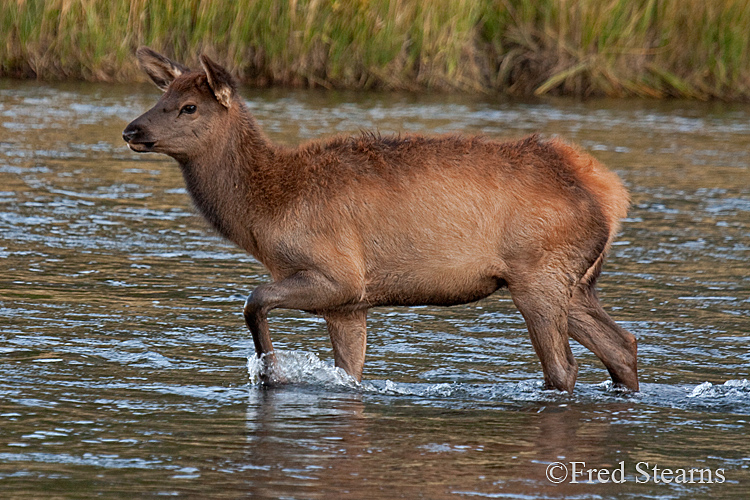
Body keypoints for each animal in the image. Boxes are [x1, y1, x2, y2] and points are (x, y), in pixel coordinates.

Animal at [123, 47, 640, 392]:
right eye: (160, 96)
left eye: (189, 106)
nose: (132, 129)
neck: (263, 213)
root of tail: (611, 193)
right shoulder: (349, 305)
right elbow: (350, 370)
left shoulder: (339, 275)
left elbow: (254, 301)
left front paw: (271, 371)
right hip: (575, 281)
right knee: (623, 345)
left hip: (539, 274)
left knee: (564, 367)